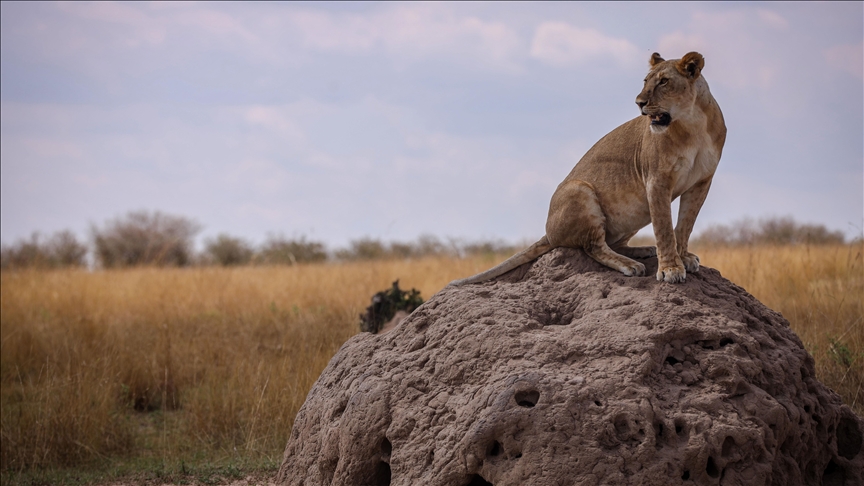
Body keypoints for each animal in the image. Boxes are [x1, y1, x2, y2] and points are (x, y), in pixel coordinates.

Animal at [451, 51, 726, 286]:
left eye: (664, 82)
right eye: (646, 81)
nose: (639, 102)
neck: (692, 124)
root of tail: (548, 233)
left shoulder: (702, 181)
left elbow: (685, 224)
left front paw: (683, 257)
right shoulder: (656, 180)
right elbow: (665, 227)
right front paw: (670, 269)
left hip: (635, 210)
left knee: (612, 243)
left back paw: (644, 249)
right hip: (580, 189)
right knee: (593, 246)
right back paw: (631, 264)